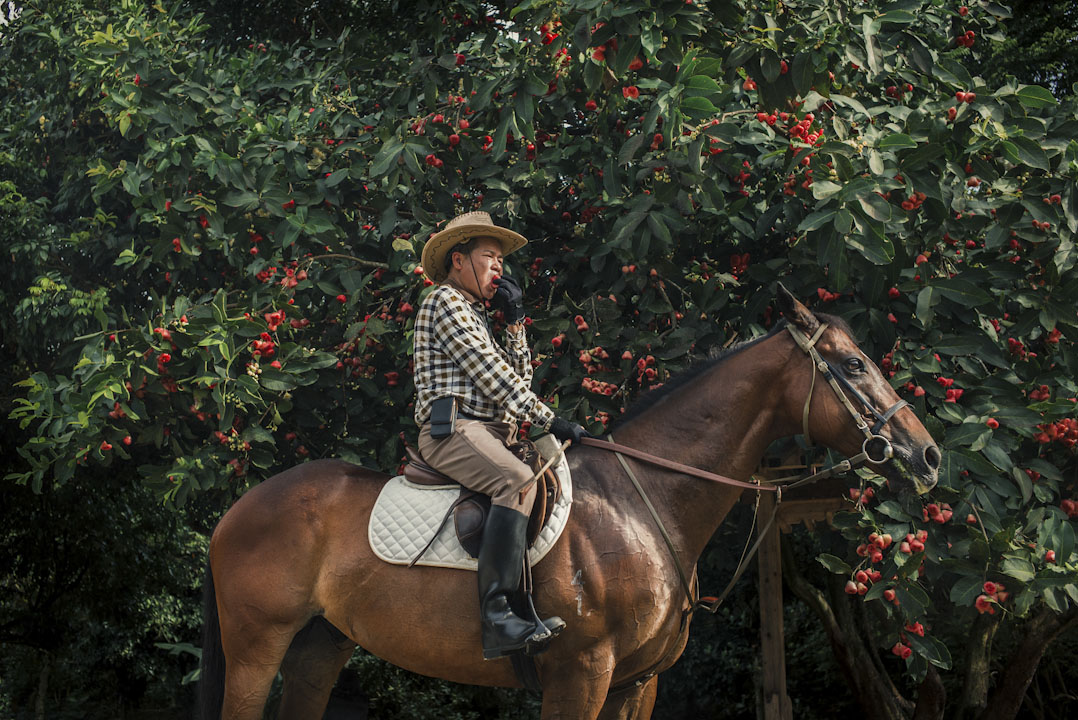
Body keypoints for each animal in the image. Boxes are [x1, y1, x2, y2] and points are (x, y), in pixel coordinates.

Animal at [198, 288, 940, 719]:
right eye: (853, 366)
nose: (928, 455)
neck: (646, 504)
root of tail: (239, 510)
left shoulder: (636, 683)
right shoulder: (581, 674)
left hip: (321, 645)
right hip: (257, 647)